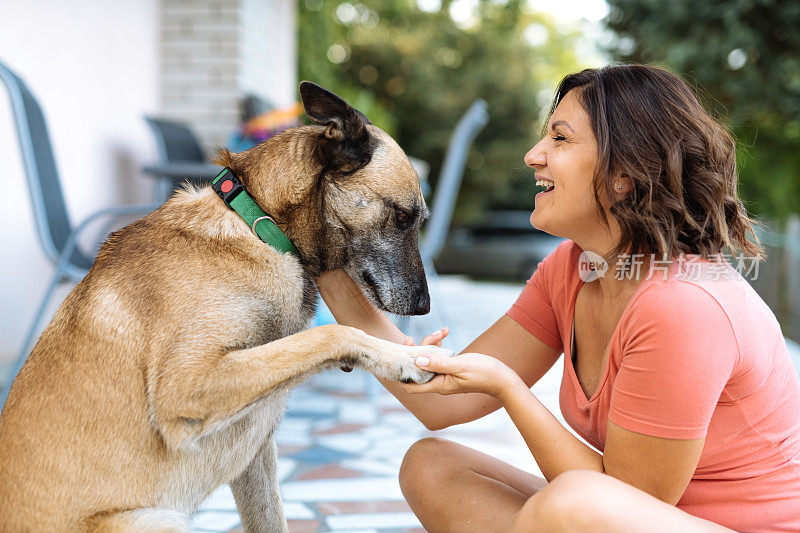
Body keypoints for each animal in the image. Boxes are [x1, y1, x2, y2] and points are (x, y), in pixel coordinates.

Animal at [0, 81, 450, 528]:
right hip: (154, 519)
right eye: (404, 217)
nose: (424, 306)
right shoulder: (187, 383)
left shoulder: (256, 456)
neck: (259, 224)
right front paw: (405, 358)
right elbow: (333, 332)